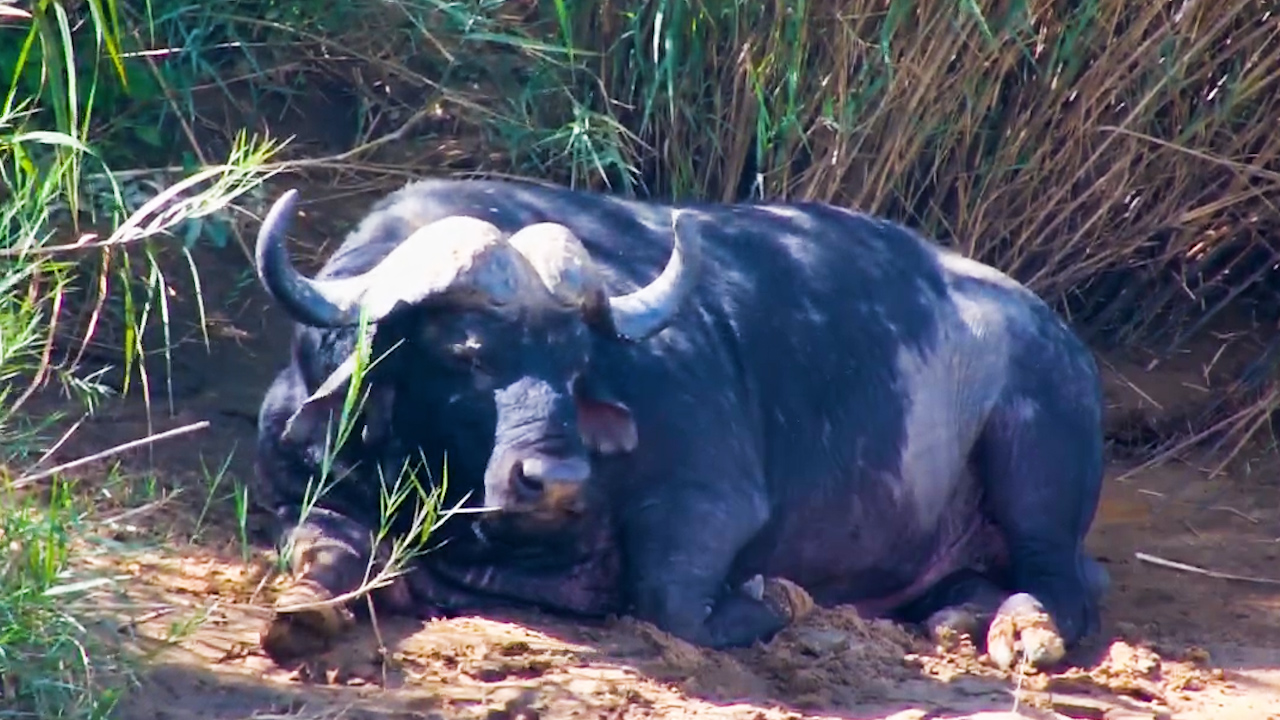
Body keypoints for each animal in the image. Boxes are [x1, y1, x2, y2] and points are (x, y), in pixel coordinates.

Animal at [250, 177, 1110, 672]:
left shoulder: (709, 497)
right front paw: (300, 614)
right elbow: (322, 549)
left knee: (1062, 584)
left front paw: (776, 598)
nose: (555, 479)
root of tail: (1059, 332)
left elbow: (671, 598)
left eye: (576, 363)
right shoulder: (299, 486)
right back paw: (955, 616)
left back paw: (1021, 629)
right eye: (466, 353)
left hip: (1039, 455)